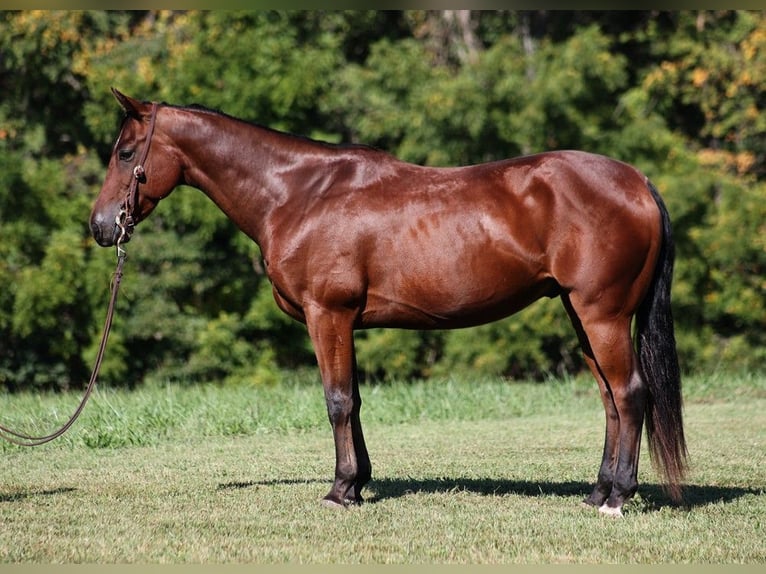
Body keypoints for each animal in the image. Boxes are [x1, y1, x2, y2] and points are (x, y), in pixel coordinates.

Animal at [91, 89, 688, 516]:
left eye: (125, 153)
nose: (100, 227)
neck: (299, 193)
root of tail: (638, 183)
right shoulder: (343, 323)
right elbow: (353, 401)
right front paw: (358, 484)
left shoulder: (326, 315)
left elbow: (336, 401)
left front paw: (338, 492)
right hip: (580, 315)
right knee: (610, 399)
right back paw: (598, 491)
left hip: (602, 314)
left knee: (631, 393)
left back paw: (618, 497)